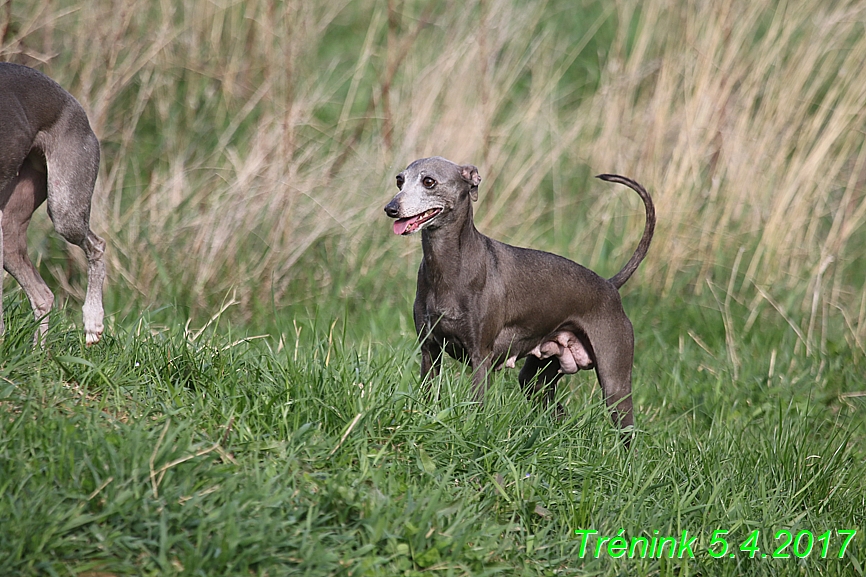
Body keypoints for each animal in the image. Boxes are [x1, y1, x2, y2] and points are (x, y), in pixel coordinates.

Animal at [0, 62, 105, 342]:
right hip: (9, 231)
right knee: (43, 296)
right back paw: (38, 353)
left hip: (65, 206)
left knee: (97, 246)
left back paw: (93, 321)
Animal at [384, 155, 656, 438]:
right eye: (400, 180)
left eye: (429, 181)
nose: (390, 208)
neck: (449, 266)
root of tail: (609, 285)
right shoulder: (429, 351)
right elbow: (427, 395)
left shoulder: (480, 358)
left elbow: (476, 406)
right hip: (536, 380)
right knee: (557, 411)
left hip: (615, 383)